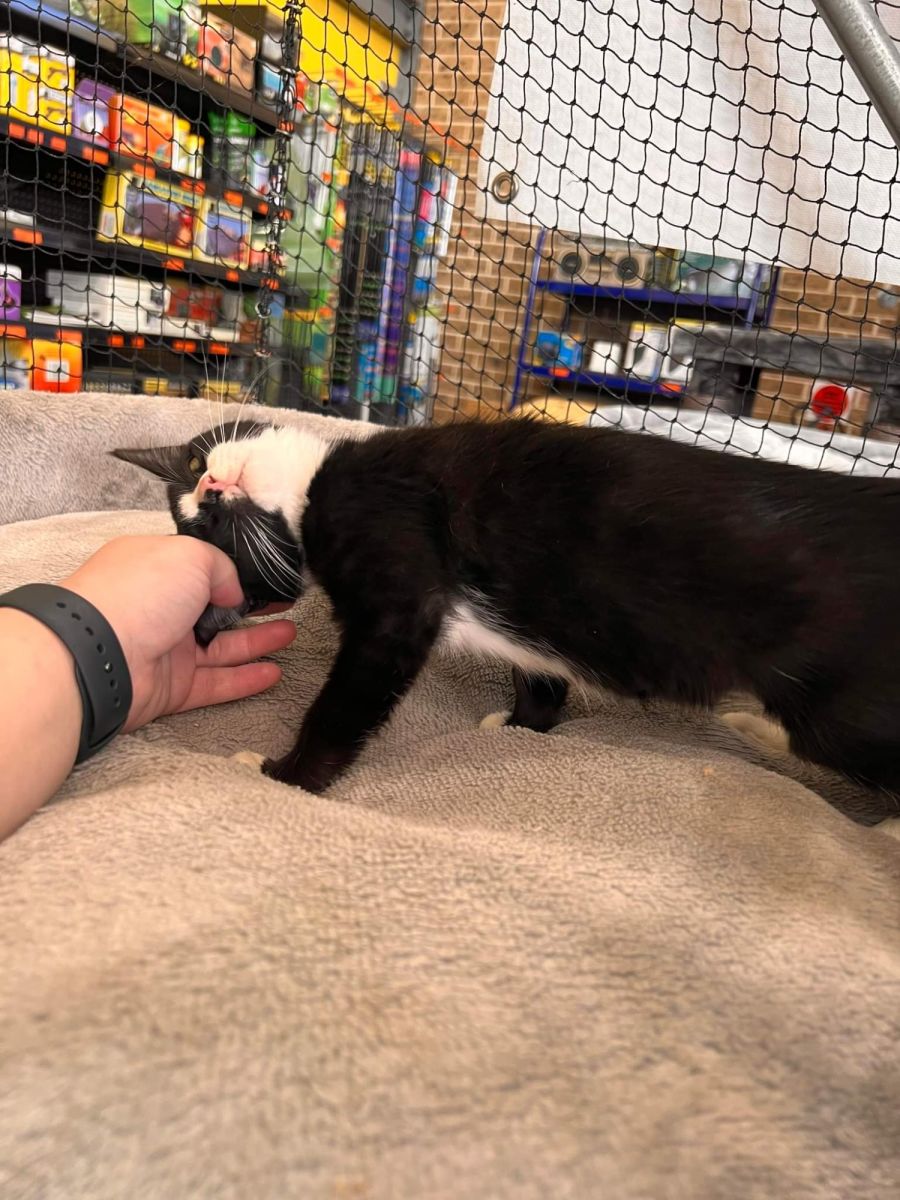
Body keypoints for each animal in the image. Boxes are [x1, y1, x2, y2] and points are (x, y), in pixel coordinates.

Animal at [114, 417, 900, 823]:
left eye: (194, 469)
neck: (310, 490)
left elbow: (345, 701)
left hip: (840, 709)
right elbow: (540, 671)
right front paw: (526, 724)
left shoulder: (395, 572)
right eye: (208, 525)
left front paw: (284, 777)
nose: (213, 484)